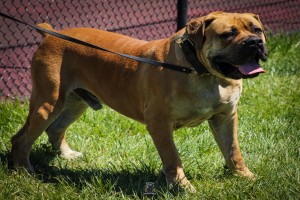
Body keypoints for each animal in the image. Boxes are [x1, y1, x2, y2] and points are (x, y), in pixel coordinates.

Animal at [11, 11, 268, 191]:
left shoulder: (226, 118)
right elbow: (173, 158)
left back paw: (67, 155)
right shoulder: (159, 123)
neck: (203, 73)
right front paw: (182, 187)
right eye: (228, 34)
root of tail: (49, 33)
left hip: (74, 103)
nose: (255, 42)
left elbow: (233, 150)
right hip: (48, 104)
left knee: (55, 129)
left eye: (257, 29)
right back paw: (25, 171)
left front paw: (245, 176)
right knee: (21, 139)